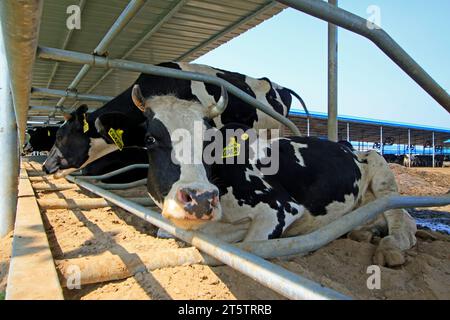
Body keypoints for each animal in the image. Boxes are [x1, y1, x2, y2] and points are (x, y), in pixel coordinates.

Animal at [95, 85, 418, 268]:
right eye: (150, 139)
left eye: (210, 140)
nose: (200, 199)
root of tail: (345, 144)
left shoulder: (280, 208)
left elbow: (250, 242)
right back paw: (364, 231)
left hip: (380, 167)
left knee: (401, 219)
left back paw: (390, 247)